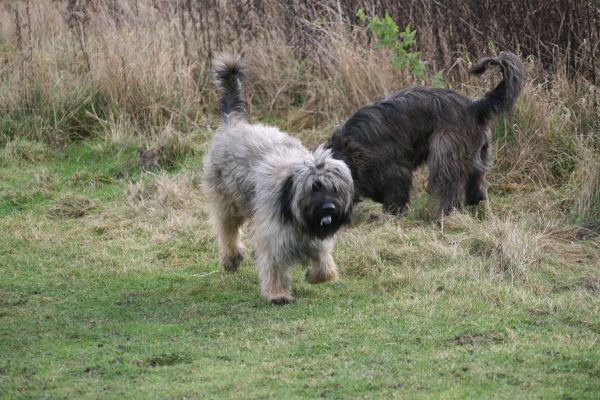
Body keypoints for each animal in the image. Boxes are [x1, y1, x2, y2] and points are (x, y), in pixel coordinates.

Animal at [324, 52, 524, 219]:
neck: (351, 148)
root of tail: (475, 107)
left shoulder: (395, 168)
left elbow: (395, 192)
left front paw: (392, 214)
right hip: (478, 155)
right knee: (476, 182)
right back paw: (477, 206)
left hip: (446, 155)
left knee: (448, 186)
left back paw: (443, 216)